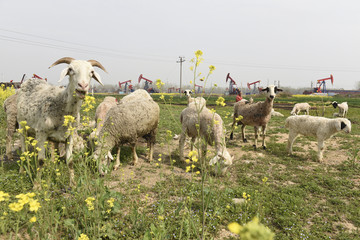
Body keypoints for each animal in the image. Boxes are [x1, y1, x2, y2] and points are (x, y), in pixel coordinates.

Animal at [16, 57, 106, 187]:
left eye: (92, 72)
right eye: (70, 69)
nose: (83, 86)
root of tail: (30, 80)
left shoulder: (70, 136)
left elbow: (70, 161)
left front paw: (73, 183)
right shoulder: (41, 133)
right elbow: (41, 161)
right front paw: (37, 185)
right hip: (21, 127)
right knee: (24, 152)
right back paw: (22, 171)